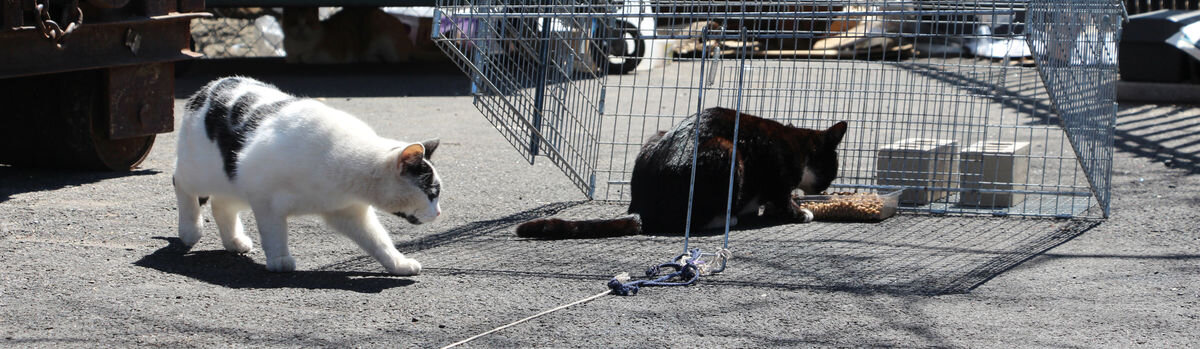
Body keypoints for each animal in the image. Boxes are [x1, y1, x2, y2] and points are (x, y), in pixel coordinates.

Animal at [174, 77, 441, 275]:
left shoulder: (349, 212)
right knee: (181, 184)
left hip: (236, 183)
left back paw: (234, 241)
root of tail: (210, 86)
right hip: (202, 172)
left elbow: (379, 241)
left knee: (221, 205)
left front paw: (398, 263)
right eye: (431, 193)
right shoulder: (266, 200)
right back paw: (190, 230)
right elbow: (274, 233)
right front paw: (280, 259)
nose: (439, 213)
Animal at [516, 106, 844, 239]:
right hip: (726, 152)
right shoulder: (777, 172)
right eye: (833, 168)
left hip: (654, 136)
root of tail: (642, 206)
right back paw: (727, 217)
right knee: (691, 221)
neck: (798, 145)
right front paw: (800, 211)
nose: (827, 188)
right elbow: (783, 199)